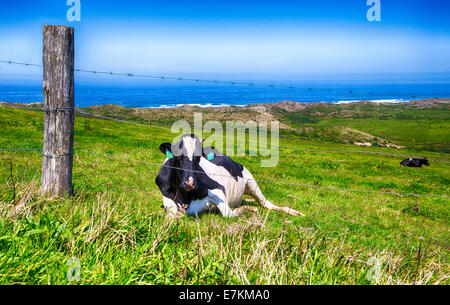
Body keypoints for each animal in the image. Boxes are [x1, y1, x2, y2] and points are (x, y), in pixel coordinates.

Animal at [153, 134, 304, 217]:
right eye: (177, 156)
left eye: (198, 157)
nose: (189, 183)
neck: (185, 197)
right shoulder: (166, 196)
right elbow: (171, 211)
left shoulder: (218, 189)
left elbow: (228, 213)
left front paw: (249, 209)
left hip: (251, 181)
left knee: (267, 204)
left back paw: (293, 211)